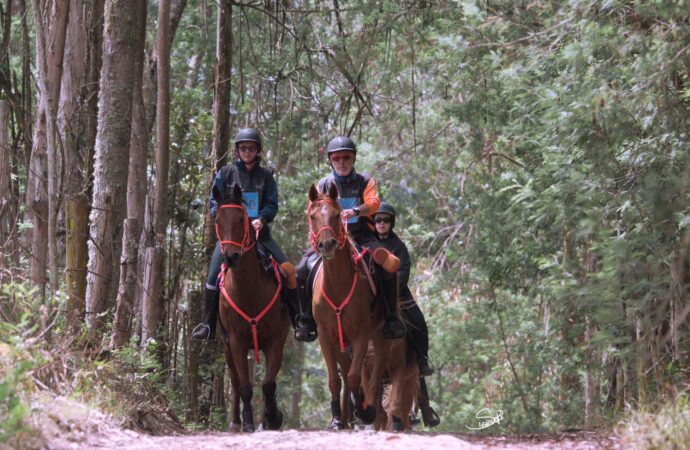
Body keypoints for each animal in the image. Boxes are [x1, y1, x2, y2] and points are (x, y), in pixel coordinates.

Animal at [215, 183, 290, 432]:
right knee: (235, 380)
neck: (249, 290)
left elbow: (269, 384)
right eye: (217, 220)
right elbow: (245, 386)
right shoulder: (236, 340)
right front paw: (247, 422)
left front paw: (272, 417)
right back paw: (235, 422)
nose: (230, 257)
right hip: (226, 345)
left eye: (241, 219)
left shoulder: (276, 339)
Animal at [306, 183, 390, 428]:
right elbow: (335, 379)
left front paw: (365, 411)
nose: (327, 244)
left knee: (374, 374)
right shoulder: (327, 335)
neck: (337, 285)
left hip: (381, 335)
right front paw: (336, 419)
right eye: (313, 216)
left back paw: (372, 412)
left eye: (336, 215)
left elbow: (354, 377)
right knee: (348, 370)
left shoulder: (361, 333)